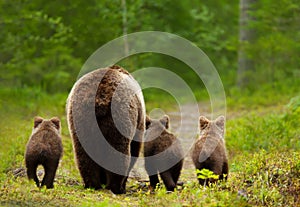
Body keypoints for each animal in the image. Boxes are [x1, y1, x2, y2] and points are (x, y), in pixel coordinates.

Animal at [67, 66, 145, 194]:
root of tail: (100, 97)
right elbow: (135, 148)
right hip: (119, 117)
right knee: (119, 152)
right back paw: (116, 187)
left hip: (80, 118)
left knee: (84, 154)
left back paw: (92, 184)